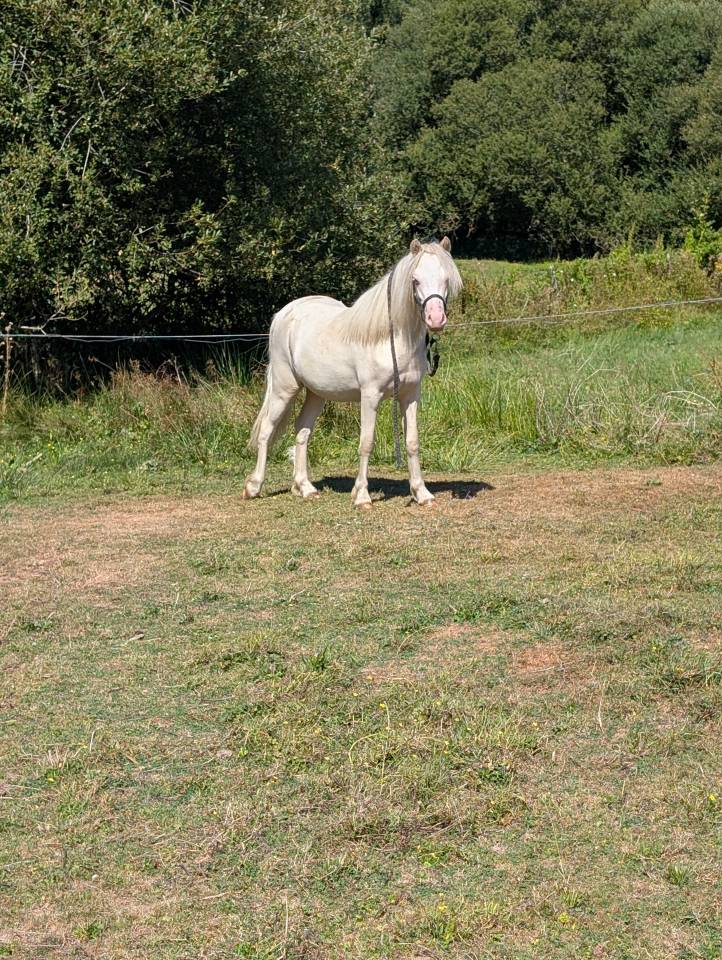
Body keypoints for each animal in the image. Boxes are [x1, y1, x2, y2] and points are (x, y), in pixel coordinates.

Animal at [243, 237, 462, 508]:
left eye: (446, 279)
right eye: (415, 280)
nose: (435, 319)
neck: (390, 338)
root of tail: (284, 314)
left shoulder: (410, 395)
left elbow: (412, 441)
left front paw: (422, 494)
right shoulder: (370, 396)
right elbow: (366, 443)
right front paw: (362, 496)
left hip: (316, 393)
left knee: (302, 430)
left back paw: (305, 487)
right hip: (285, 388)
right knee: (266, 430)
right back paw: (254, 487)